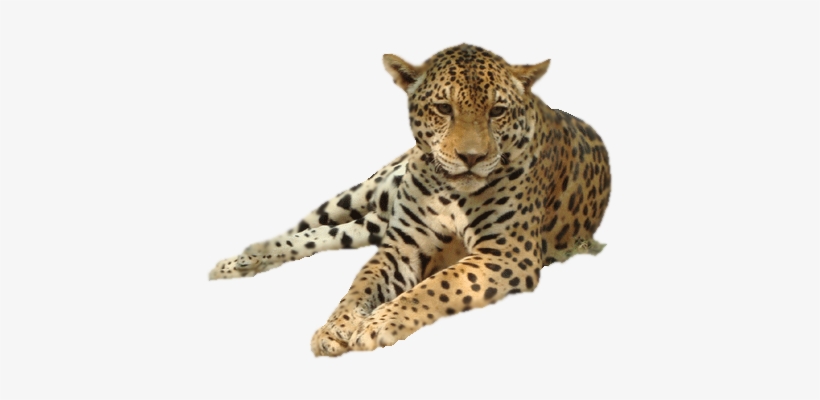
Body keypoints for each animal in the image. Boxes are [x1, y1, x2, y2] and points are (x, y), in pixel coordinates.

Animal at [209, 44, 611, 357]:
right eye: (444, 108)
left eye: (496, 111)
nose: (471, 157)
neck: (450, 189)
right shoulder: (402, 245)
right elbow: (361, 285)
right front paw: (336, 327)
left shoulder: (508, 253)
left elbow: (438, 284)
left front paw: (376, 324)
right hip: (361, 194)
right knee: (305, 227)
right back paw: (238, 261)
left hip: (371, 223)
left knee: (322, 236)